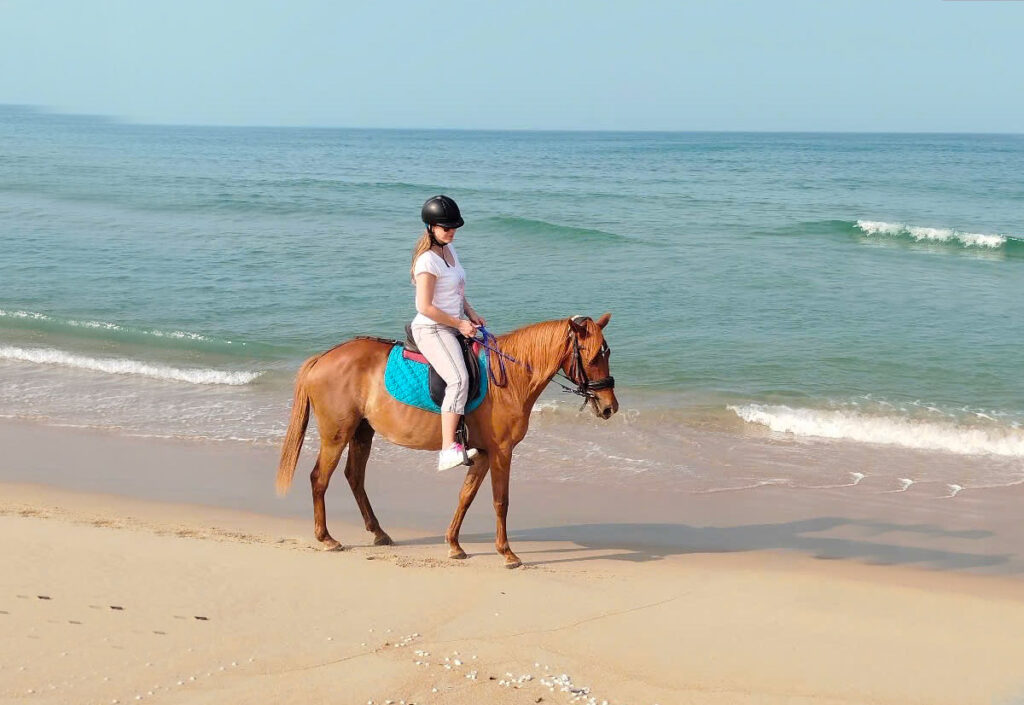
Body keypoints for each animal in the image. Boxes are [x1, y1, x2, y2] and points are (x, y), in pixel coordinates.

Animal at [275, 313, 617, 568]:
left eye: (607, 353)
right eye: (592, 357)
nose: (610, 406)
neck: (508, 379)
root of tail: (323, 358)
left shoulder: (483, 453)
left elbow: (466, 496)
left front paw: (453, 544)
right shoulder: (501, 452)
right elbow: (501, 500)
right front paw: (507, 552)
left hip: (362, 432)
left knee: (354, 477)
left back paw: (378, 532)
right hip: (337, 434)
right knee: (320, 478)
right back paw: (327, 538)